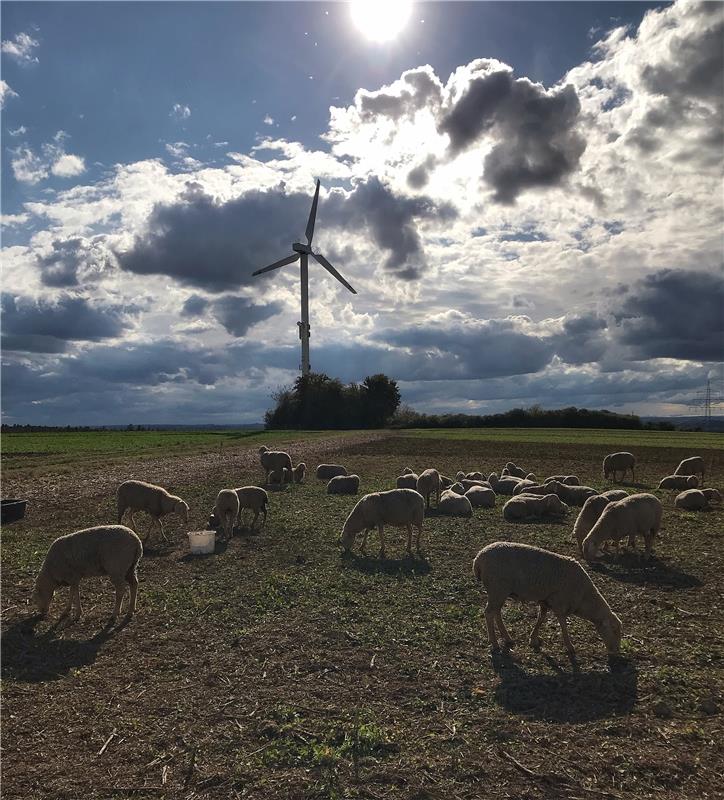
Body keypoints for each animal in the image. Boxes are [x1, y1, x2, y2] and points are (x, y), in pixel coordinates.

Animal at [476, 540, 624, 660]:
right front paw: (570, 647)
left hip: (500, 591)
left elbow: (541, 619)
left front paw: (533, 639)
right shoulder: (560, 603)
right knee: (489, 613)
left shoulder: (545, 601)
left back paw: (507, 638)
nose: (617, 651)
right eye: (614, 630)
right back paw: (494, 643)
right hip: (497, 589)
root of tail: (478, 558)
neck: (584, 596)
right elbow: (563, 625)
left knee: (497, 612)